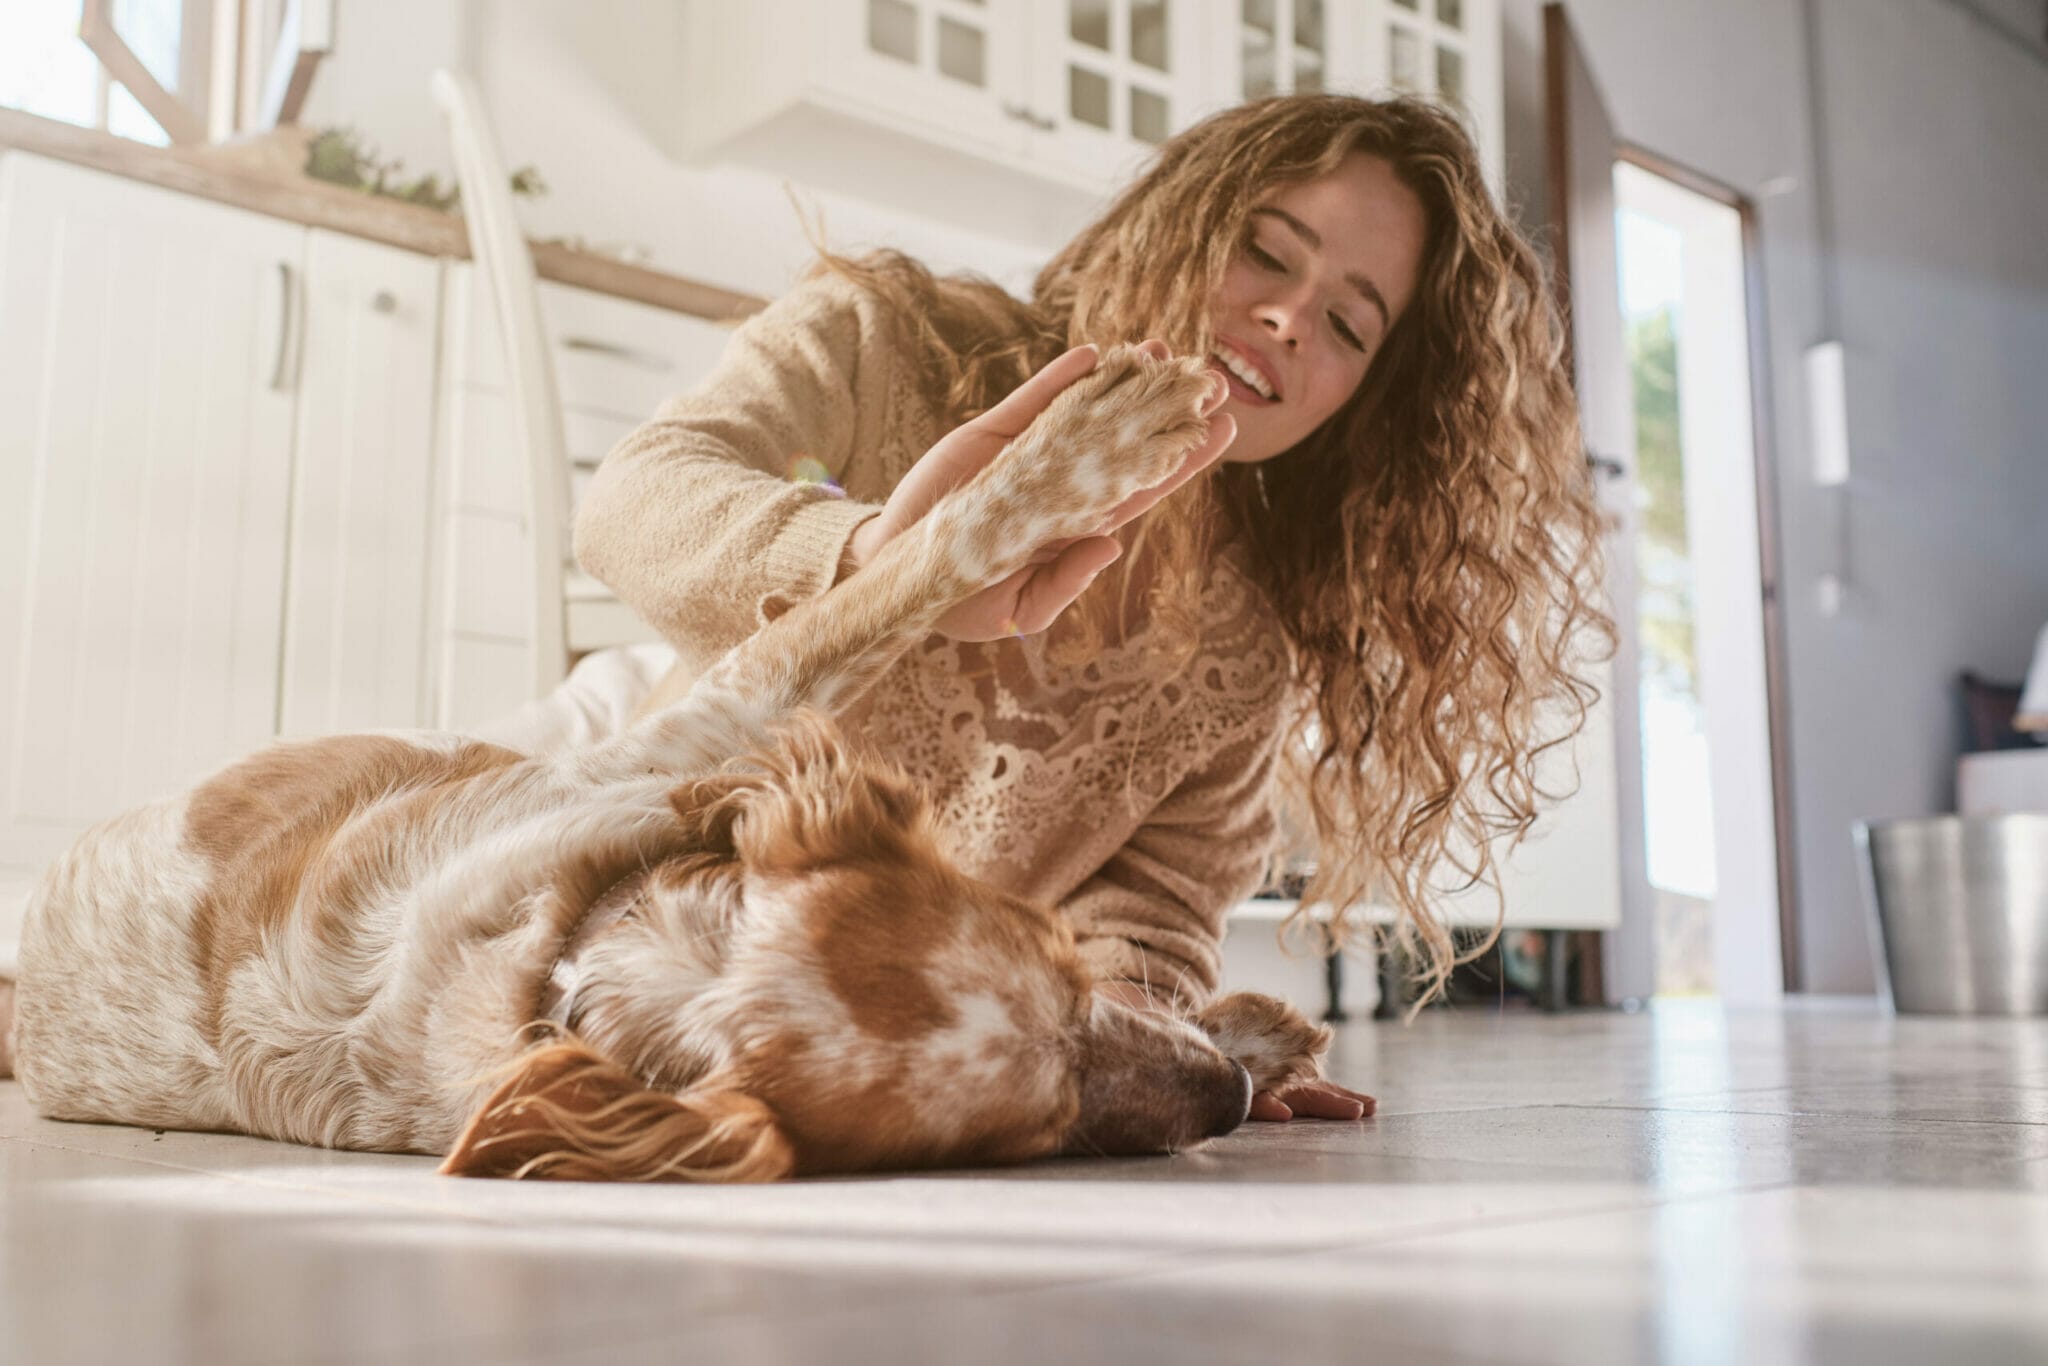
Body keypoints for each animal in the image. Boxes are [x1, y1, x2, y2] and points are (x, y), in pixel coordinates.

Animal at [0, 348, 1335, 1179]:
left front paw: (1256, 1037)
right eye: (1031, 1132)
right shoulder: (700, 717)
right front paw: (1088, 445)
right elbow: (911, 568)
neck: (581, 961)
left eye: (1062, 962)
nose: (1226, 1100)